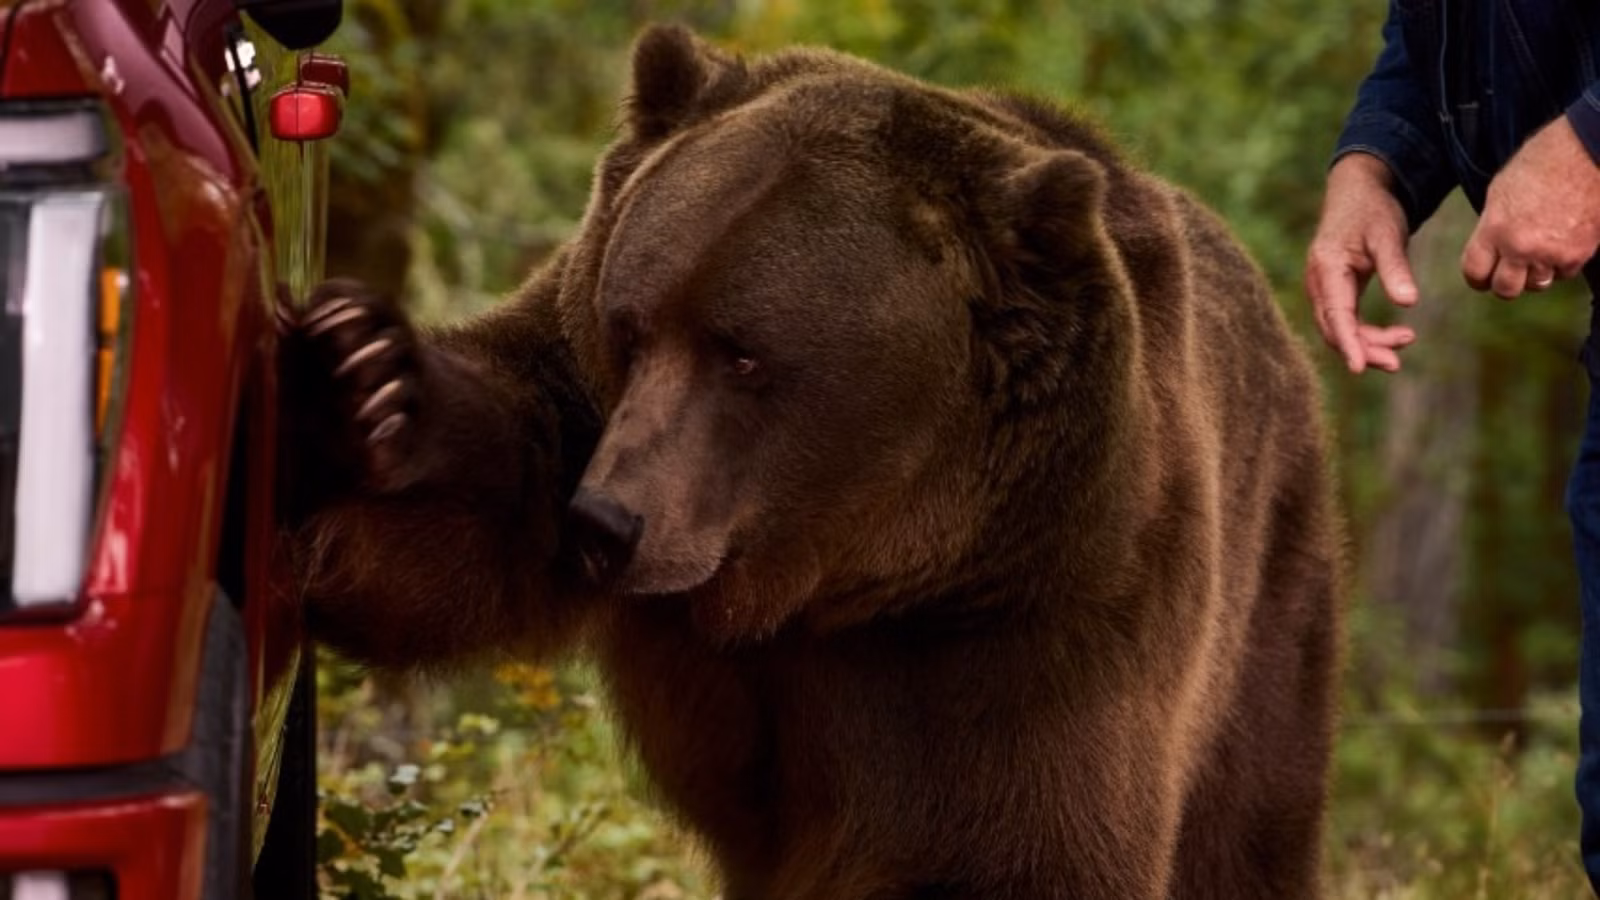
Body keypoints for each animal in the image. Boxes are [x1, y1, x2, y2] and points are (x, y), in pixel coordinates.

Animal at [281, 23, 1343, 900]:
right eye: (632, 326)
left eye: (745, 354)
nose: (603, 524)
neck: (837, 574)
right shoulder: (587, 405)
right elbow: (457, 526)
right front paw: (368, 383)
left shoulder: (1035, 613)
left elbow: (1008, 849)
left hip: (1266, 615)